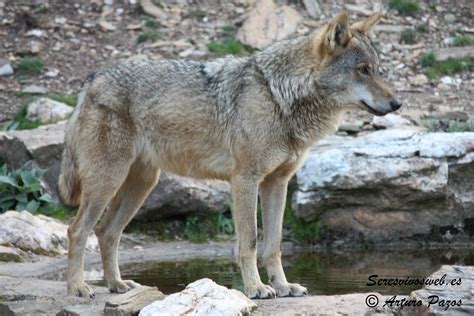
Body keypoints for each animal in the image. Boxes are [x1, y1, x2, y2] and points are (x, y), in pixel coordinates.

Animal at [58, 11, 400, 298]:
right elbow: (249, 242)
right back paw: (78, 288)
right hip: (108, 183)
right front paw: (256, 289)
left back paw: (117, 284)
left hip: (141, 185)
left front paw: (284, 286)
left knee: (106, 233)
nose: (397, 103)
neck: (279, 96)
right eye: (362, 71)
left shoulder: (277, 184)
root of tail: (92, 80)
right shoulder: (245, 180)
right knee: (77, 231)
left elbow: (274, 244)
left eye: (377, 70)